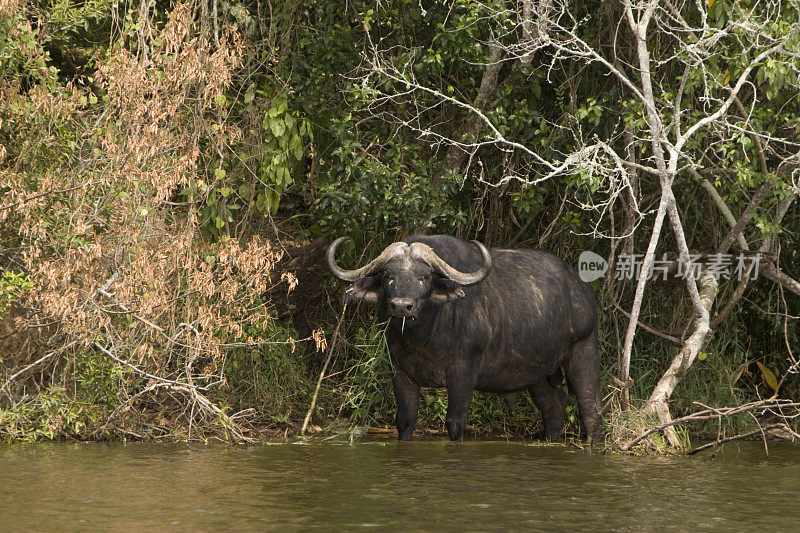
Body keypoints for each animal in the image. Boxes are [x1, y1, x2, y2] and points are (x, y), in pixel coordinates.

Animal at [326, 235, 600, 442]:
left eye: (425, 276)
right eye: (387, 275)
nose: (402, 306)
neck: (423, 338)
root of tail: (583, 291)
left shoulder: (463, 372)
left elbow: (455, 422)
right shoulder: (400, 371)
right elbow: (405, 420)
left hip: (583, 351)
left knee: (590, 409)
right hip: (538, 373)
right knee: (554, 407)